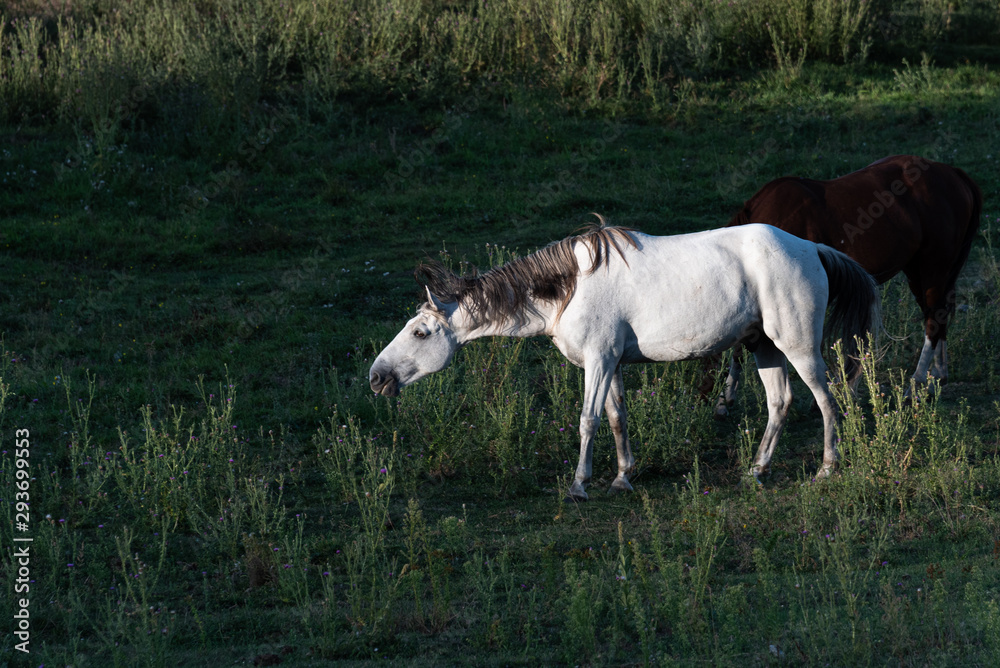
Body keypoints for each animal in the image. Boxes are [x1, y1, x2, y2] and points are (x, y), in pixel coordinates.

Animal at [369, 222, 879, 500]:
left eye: (420, 332)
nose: (376, 378)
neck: (569, 288)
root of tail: (811, 248)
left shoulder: (598, 361)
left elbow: (588, 420)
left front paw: (579, 484)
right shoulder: (612, 363)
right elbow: (617, 418)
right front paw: (622, 477)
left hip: (798, 346)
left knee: (826, 400)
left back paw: (826, 469)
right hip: (764, 347)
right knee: (780, 402)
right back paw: (757, 470)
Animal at [715, 155, 981, 414]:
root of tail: (952, 173)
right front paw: (725, 398)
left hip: (932, 269)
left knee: (933, 321)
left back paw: (914, 386)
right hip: (918, 273)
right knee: (938, 315)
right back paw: (937, 377)